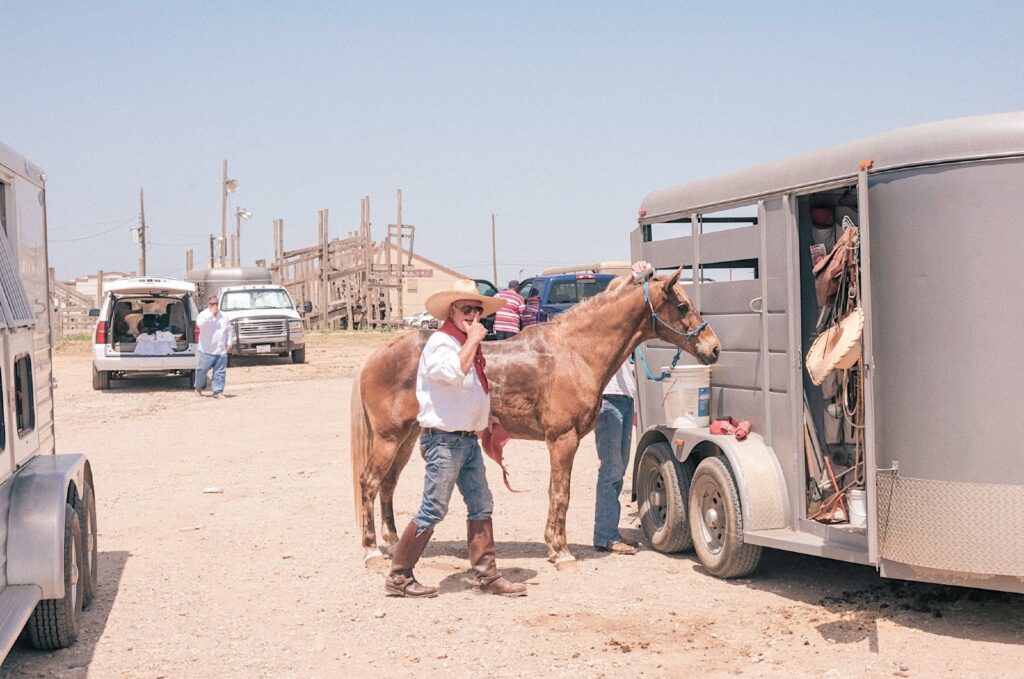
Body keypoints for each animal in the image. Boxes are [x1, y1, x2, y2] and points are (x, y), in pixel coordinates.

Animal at [350, 268, 721, 571]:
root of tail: (377, 355)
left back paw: (392, 543)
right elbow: (560, 494)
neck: (575, 351)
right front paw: (562, 552)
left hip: (408, 438)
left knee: (387, 485)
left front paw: (554, 546)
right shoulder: (562, 440)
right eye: (683, 306)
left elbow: (554, 492)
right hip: (389, 438)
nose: (713, 348)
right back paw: (371, 552)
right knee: (369, 483)